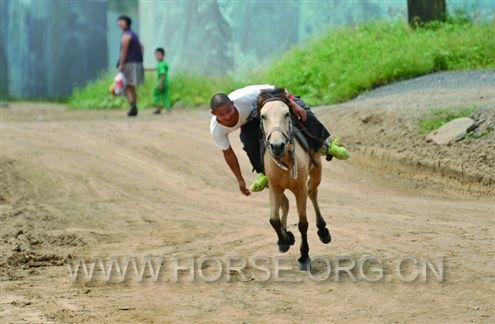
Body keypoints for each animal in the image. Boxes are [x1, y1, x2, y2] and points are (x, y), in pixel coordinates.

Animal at [258, 88, 332, 270]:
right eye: (263, 116)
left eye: (286, 113)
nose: (277, 145)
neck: (284, 159)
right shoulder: (274, 187)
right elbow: (273, 219)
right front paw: (285, 240)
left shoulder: (300, 189)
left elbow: (303, 223)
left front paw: (304, 256)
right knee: (285, 203)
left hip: (316, 171)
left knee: (313, 193)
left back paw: (323, 231)